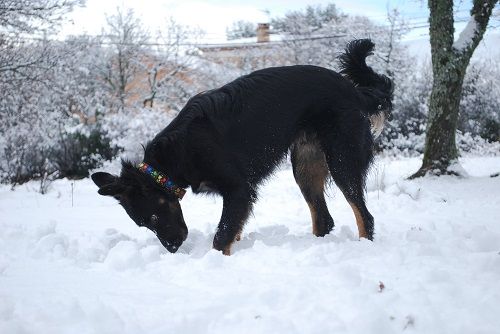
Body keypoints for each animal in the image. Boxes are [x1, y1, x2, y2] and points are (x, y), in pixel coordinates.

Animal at [92, 37, 392, 254]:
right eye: (144, 224)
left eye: (153, 218)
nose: (173, 249)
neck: (179, 151)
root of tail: (355, 91)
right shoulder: (240, 196)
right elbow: (231, 231)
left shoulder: (239, 190)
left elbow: (221, 236)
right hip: (305, 166)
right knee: (324, 219)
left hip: (342, 161)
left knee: (365, 216)